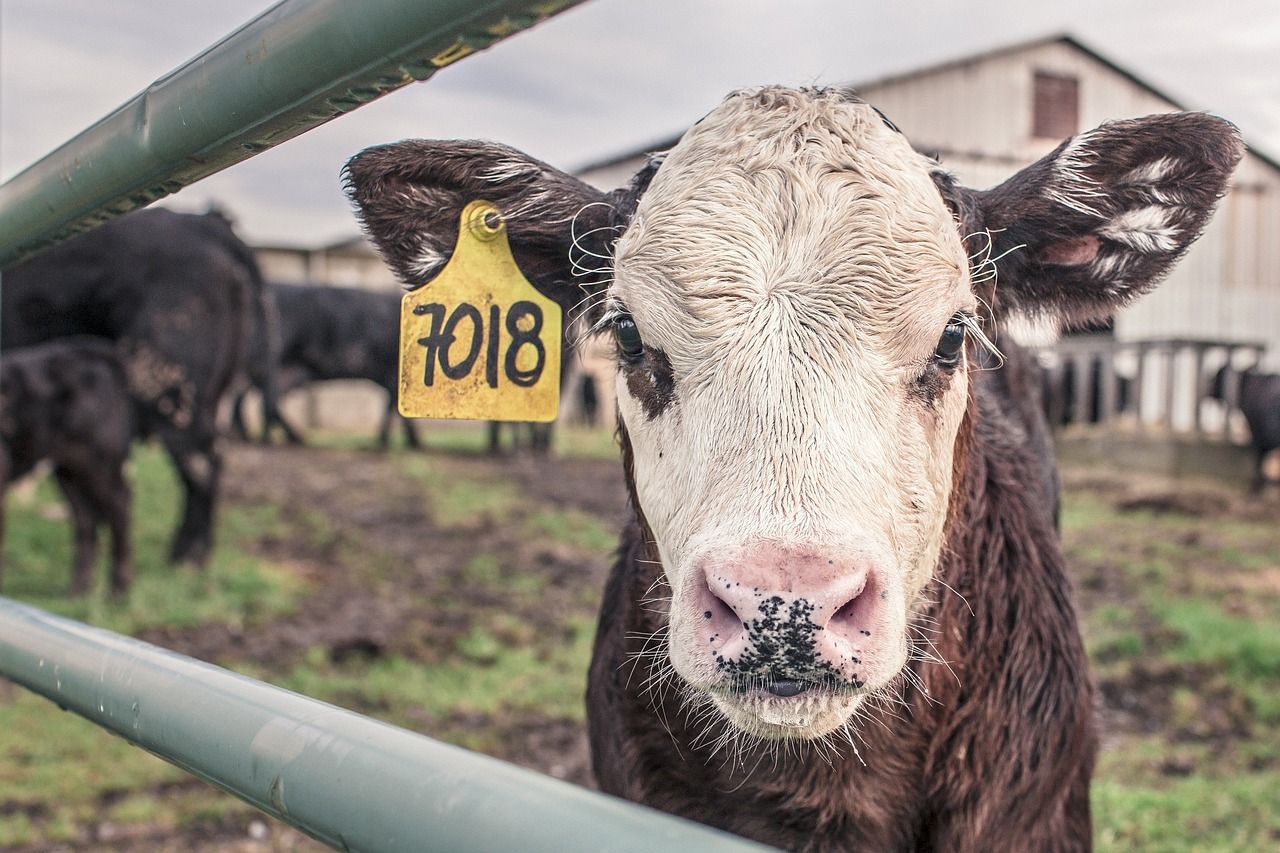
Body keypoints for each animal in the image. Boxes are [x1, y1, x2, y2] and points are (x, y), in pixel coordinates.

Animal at [0, 335, 135, 594]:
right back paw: (80, 589)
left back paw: (117, 591)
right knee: (85, 518)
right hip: (69, 469)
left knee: (119, 507)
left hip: (101, 462)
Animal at [229, 280, 419, 450]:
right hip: (269, 361)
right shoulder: (393, 374)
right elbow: (394, 408)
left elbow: (393, 407)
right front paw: (404, 443)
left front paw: (400, 442)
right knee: (262, 399)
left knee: (254, 397)